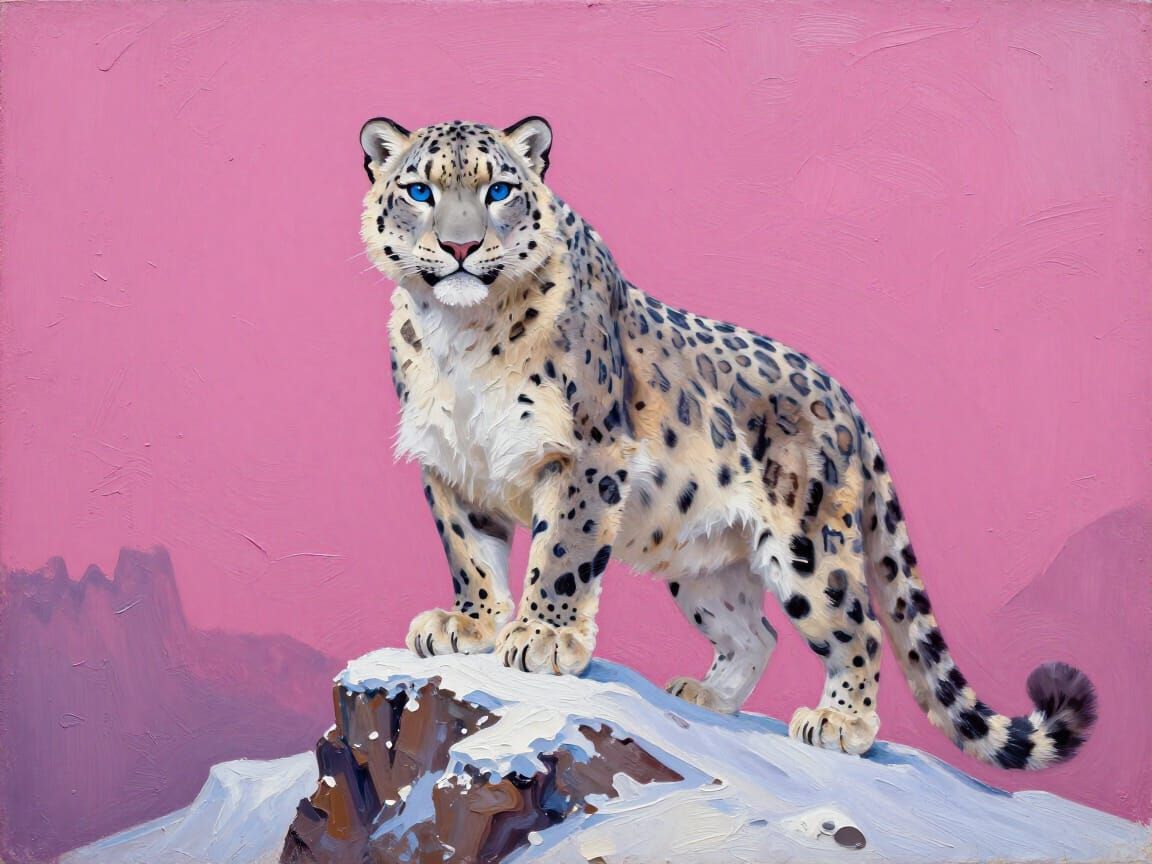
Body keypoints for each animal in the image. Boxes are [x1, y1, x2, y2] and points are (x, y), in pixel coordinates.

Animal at [358, 115, 1096, 768]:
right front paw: (470, 625)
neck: (461, 335)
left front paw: (542, 638)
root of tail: (847, 401)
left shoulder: (586, 455)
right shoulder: (452, 463)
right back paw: (706, 696)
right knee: (756, 632)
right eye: (419, 191)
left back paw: (840, 724)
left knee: (856, 628)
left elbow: (563, 549)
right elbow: (469, 552)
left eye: (498, 191)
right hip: (705, 568)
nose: (459, 247)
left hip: (808, 548)